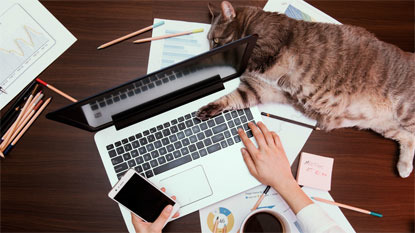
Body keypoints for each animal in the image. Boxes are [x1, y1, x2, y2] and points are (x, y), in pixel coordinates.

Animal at [197, 0, 415, 177]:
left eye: (215, 40)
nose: (211, 50)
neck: (252, 24)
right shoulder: (257, 87)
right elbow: (231, 99)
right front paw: (209, 108)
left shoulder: (261, 53)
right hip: (385, 125)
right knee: (408, 138)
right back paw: (404, 167)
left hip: (406, 112)